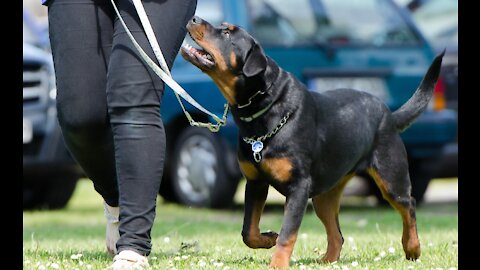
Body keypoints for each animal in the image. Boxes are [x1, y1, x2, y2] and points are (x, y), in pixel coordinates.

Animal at [181, 15, 446, 268]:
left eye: (227, 33)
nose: (194, 18)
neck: (263, 109)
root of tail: (389, 115)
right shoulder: (255, 182)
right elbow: (249, 231)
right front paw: (268, 238)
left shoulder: (298, 187)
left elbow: (288, 233)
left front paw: (277, 264)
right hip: (324, 195)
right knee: (337, 234)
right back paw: (327, 260)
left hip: (390, 176)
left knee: (408, 205)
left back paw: (412, 247)